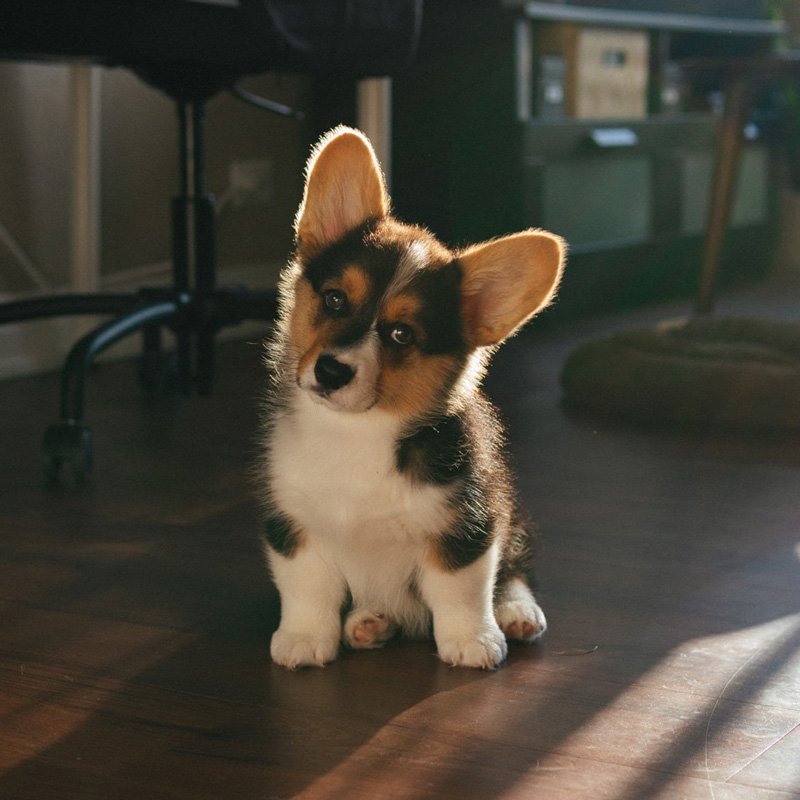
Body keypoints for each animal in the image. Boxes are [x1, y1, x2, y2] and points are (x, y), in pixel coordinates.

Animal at [260, 128, 564, 672]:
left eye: (401, 334)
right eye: (334, 299)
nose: (331, 370)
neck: (356, 433)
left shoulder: (466, 523)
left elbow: (460, 590)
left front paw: (473, 641)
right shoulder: (294, 523)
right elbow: (307, 589)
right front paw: (302, 639)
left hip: (512, 515)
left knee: (514, 569)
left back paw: (516, 613)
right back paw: (368, 623)